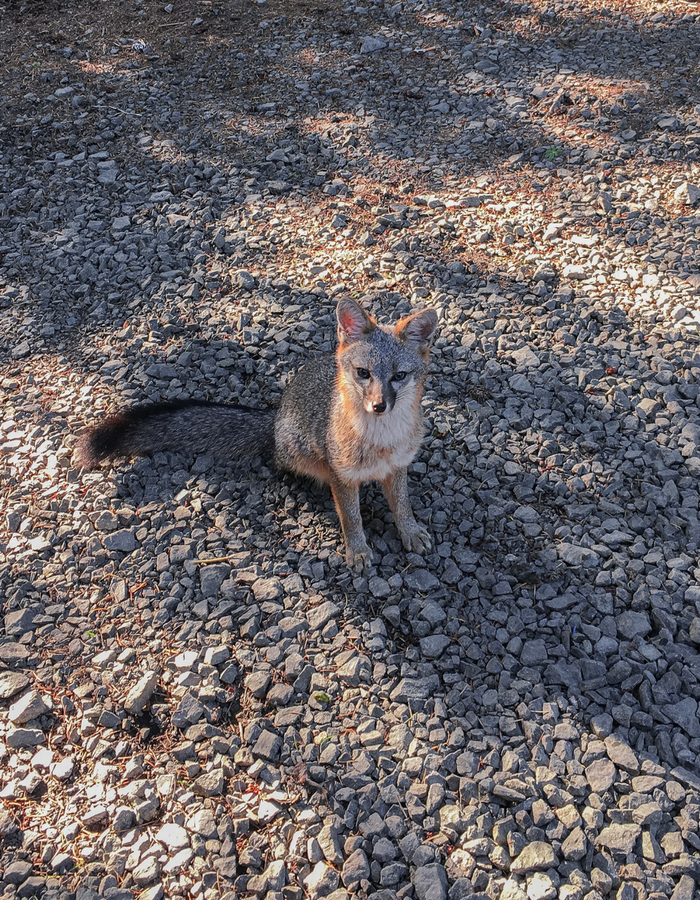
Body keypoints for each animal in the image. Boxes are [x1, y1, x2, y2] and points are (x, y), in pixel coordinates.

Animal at [78, 298, 438, 572]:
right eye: (364, 373)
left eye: (399, 376)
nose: (379, 406)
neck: (382, 443)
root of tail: (276, 415)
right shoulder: (342, 476)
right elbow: (351, 518)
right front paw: (358, 550)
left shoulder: (398, 467)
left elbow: (402, 505)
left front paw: (409, 531)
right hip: (302, 454)